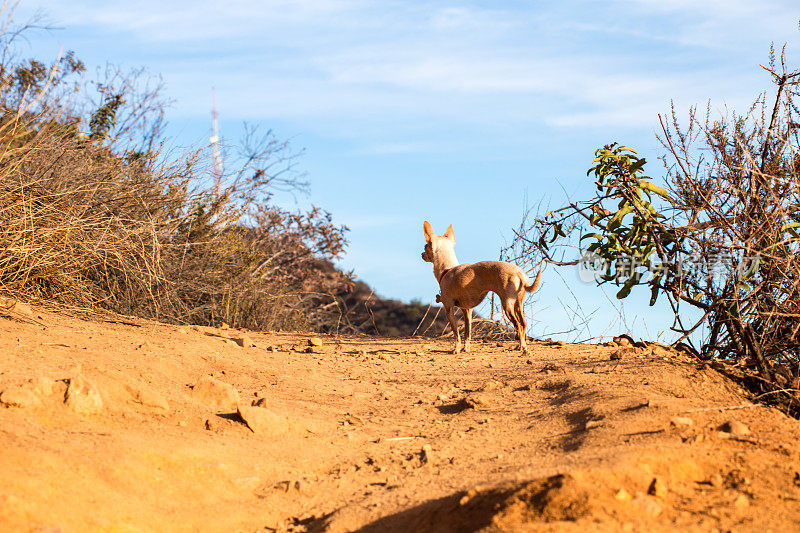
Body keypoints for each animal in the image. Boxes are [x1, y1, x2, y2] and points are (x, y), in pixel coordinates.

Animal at [422, 220, 540, 354]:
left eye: (425, 247)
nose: (421, 254)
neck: (447, 269)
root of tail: (520, 273)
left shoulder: (449, 309)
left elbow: (456, 333)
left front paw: (456, 350)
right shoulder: (467, 310)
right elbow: (467, 332)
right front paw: (466, 349)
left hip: (507, 304)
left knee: (518, 325)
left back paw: (523, 348)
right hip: (518, 304)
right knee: (523, 324)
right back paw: (520, 346)